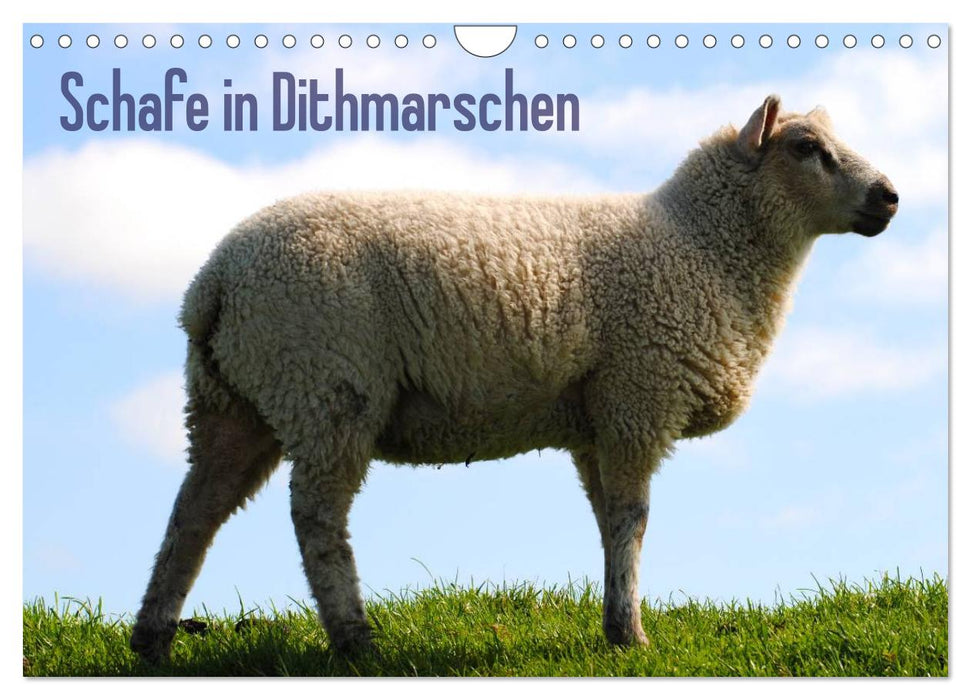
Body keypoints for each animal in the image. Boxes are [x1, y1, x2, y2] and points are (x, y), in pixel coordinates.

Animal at [130, 95, 899, 662]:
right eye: (804, 148)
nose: (890, 196)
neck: (701, 246)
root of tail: (214, 282)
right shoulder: (637, 396)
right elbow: (632, 520)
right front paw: (632, 637)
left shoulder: (597, 417)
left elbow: (607, 522)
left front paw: (613, 626)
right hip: (327, 387)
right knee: (315, 518)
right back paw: (355, 641)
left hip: (234, 402)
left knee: (195, 512)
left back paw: (152, 640)